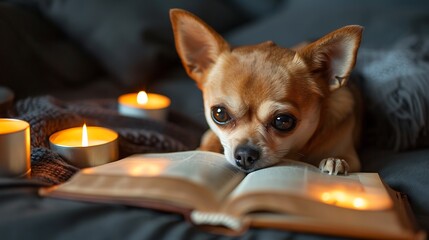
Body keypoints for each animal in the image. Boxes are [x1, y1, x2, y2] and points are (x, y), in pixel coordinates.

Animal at [170, 8, 362, 174]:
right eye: (219, 114)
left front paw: (335, 160)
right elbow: (209, 140)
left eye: (283, 121)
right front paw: (203, 149)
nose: (245, 154)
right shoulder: (210, 133)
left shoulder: (353, 159)